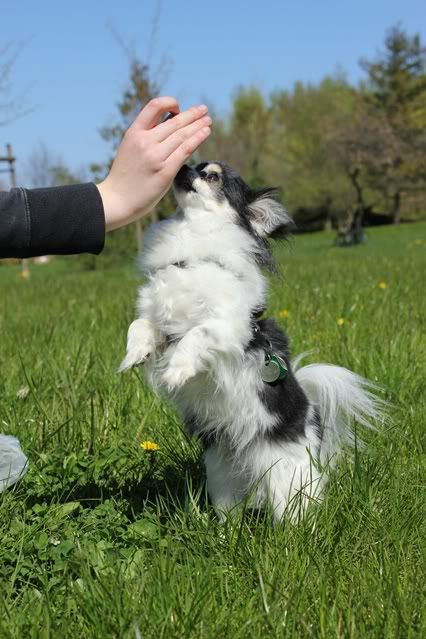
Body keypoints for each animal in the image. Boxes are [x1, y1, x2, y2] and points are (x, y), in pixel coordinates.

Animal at [120, 162, 385, 522]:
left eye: (212, 176)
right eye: (193, 165)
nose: (183, 167)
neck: (193, 250)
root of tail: (312, 413)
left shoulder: (228, 327)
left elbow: (195, 335)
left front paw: (176, 371)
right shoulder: (163, 321)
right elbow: (140, 325)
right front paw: (133, 355)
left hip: (286, 473)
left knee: (297, 509)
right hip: (222, 471)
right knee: (228, 509)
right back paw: (224, 530)